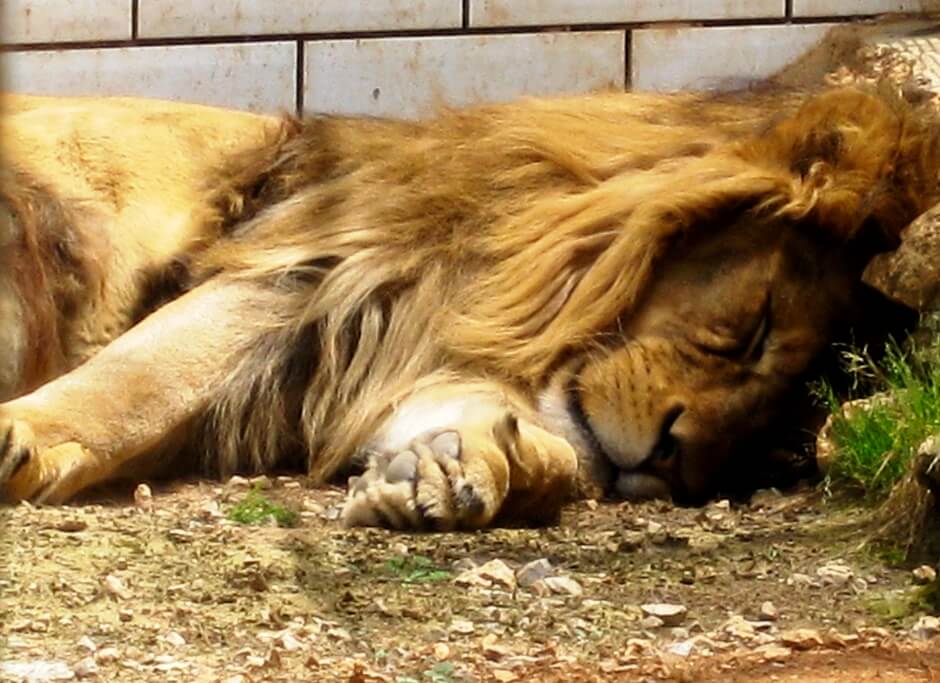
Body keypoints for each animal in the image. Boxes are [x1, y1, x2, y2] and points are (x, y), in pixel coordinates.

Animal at [0, 88, 936, 532]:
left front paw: (460, 469)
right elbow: (134, 381)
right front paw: (28, 438)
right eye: (756, 327)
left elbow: (519, 438)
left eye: (767, 443)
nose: (674, 462)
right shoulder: (308, 275)